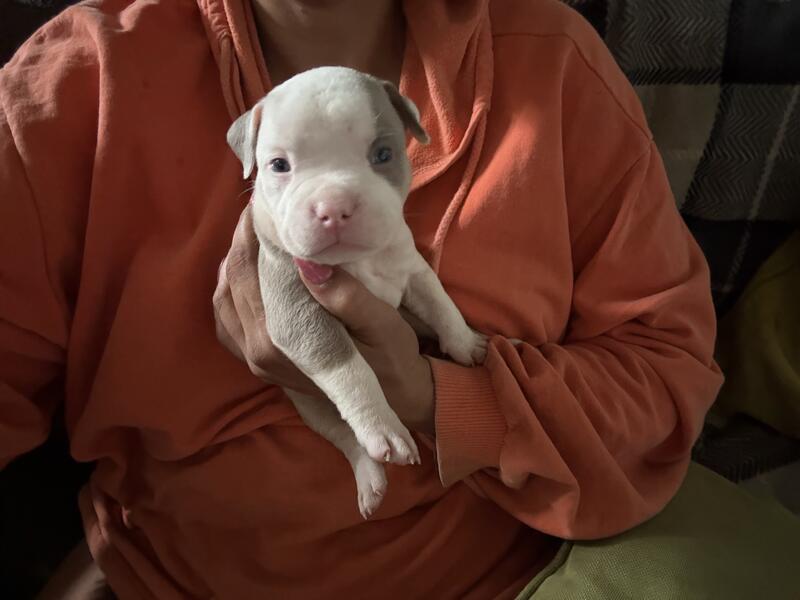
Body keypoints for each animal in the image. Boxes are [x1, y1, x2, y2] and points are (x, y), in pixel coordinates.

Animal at [226, 66, 487, 518]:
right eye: (278, 165)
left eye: (382, 155)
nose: (334, 208)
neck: (357, 262)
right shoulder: (296, 307)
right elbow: (346, 365)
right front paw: (383, 427)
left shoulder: (410, 267)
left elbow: (440, 302)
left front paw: (464, 341)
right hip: (310, 403)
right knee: (344, 436)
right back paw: (369, 475)